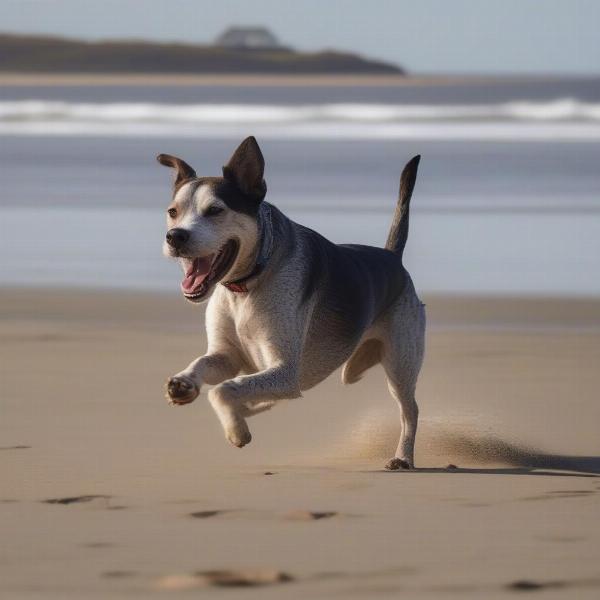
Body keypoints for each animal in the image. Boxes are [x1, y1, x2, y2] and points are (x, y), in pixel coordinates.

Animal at [157, 136, 424, 468]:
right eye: (173, 211)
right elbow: (205, 366)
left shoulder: (285, 371)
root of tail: (393, 258)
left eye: (215, 210)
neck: (247, 285)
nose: (175, 236)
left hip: (401, 362)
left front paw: (237, 432)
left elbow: (221, 391)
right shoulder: (227, 356)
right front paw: (185, 383)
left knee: (410, 409)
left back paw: (403, 457)